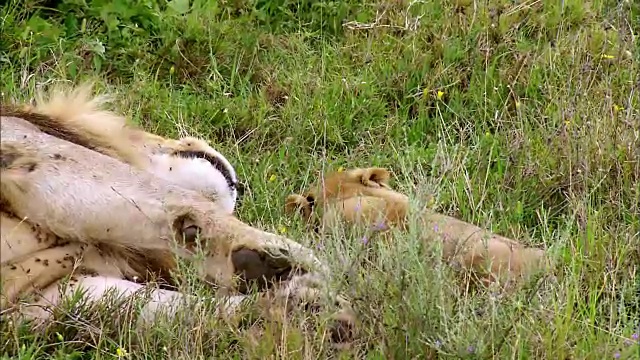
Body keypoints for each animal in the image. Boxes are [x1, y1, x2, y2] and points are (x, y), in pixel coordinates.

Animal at [0, 83, 356, 344]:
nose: (239, 181)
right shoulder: (27, 145)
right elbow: (176, 199)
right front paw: (284, 257)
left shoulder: (39, 298)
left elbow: (160, 310)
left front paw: (301, 312)